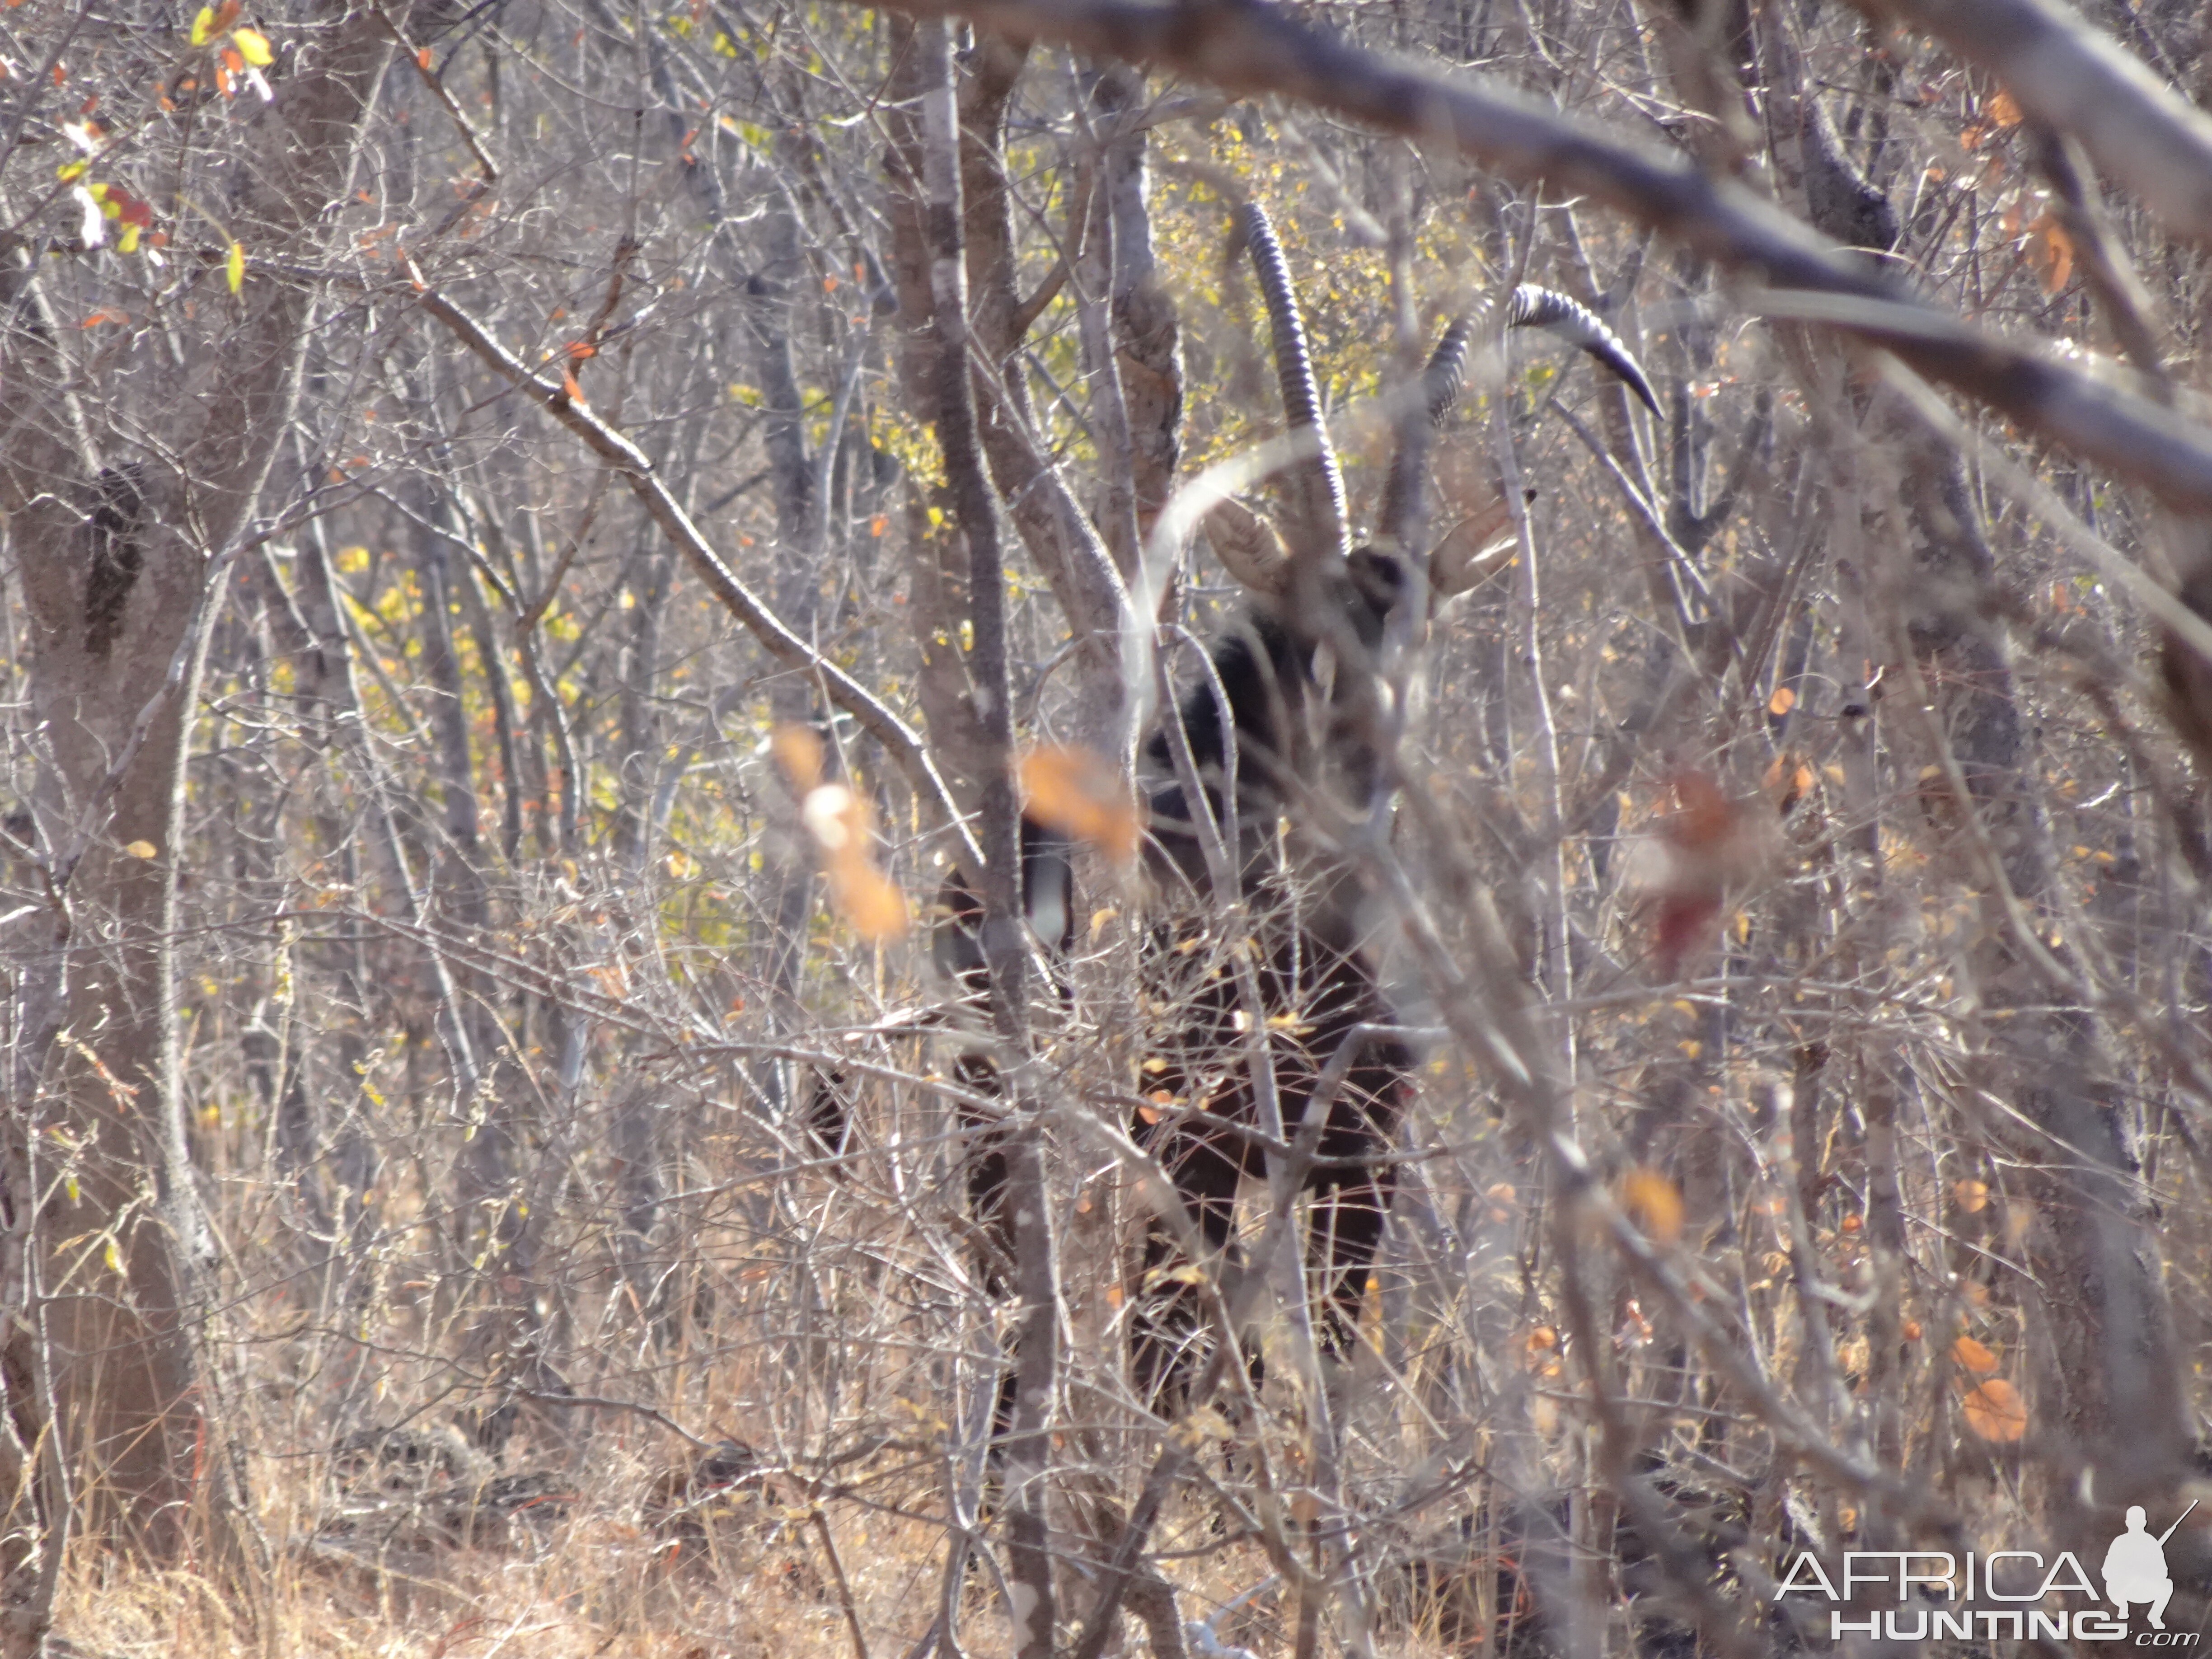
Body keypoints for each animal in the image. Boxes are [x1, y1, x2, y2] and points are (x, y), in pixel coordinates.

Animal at [920, 201, 1663, 1406]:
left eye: (1414, 621)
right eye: (1309, 621)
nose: (1366, 744)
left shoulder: (1363, 1153)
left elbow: (1334, 1348)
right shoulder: (1189, 1142)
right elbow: (1181, 1353)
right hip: (1016, 1113)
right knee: (1041, 1300)